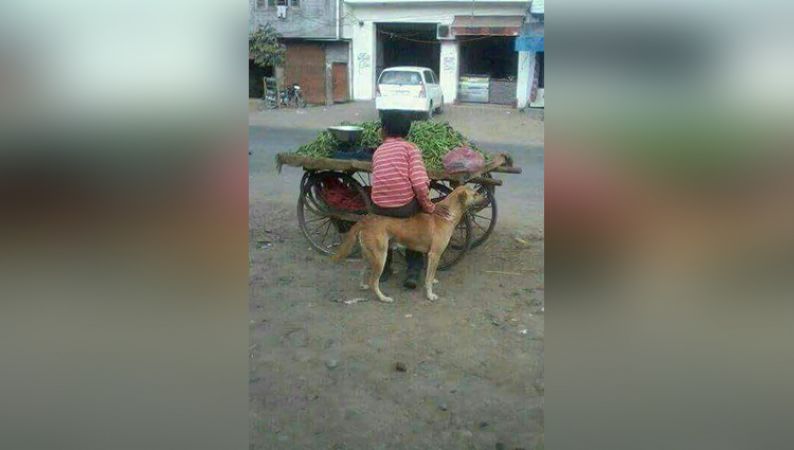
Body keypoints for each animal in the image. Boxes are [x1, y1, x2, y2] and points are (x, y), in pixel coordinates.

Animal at [330, 185, 482, 304]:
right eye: (475, 194)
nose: (485, 198)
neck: (446, 214)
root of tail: (365, 220)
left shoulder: (430, 255)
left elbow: (430, 273)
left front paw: (433, 281)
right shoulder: (434, 254)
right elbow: (428, 278)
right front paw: (430, 295)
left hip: (369, 255)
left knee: (362, 272)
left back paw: (362, 286)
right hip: (380, 256)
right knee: (373, 282)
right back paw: (383, 298)